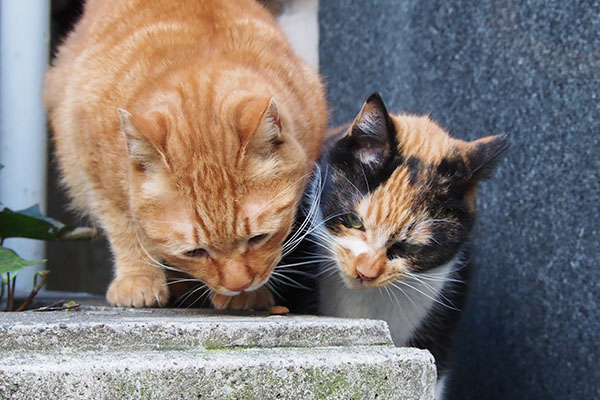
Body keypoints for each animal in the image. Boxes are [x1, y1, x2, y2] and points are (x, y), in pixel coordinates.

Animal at [44, 0, 326, 310]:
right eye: (194, 252)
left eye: (259, 238)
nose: (238, 285)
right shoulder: (94, 172)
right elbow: (126, 230)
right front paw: (139, 280)